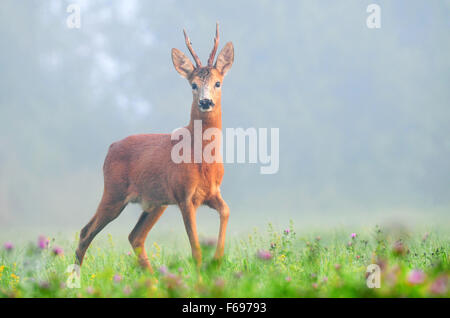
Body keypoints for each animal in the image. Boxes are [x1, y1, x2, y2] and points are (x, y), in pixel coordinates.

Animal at [74, 23, 234, 270]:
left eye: (218, 83)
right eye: (193, 84)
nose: (205, 102)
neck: (201, 157)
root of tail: (111, 147)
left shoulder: (212, 192)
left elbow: (226, 211)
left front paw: (216, 261)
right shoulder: (184, 195)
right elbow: (196, 248)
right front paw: (201, 274)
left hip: (156, 203)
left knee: (135, 236)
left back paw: (153, 277)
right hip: (113, 192)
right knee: (85, 232)